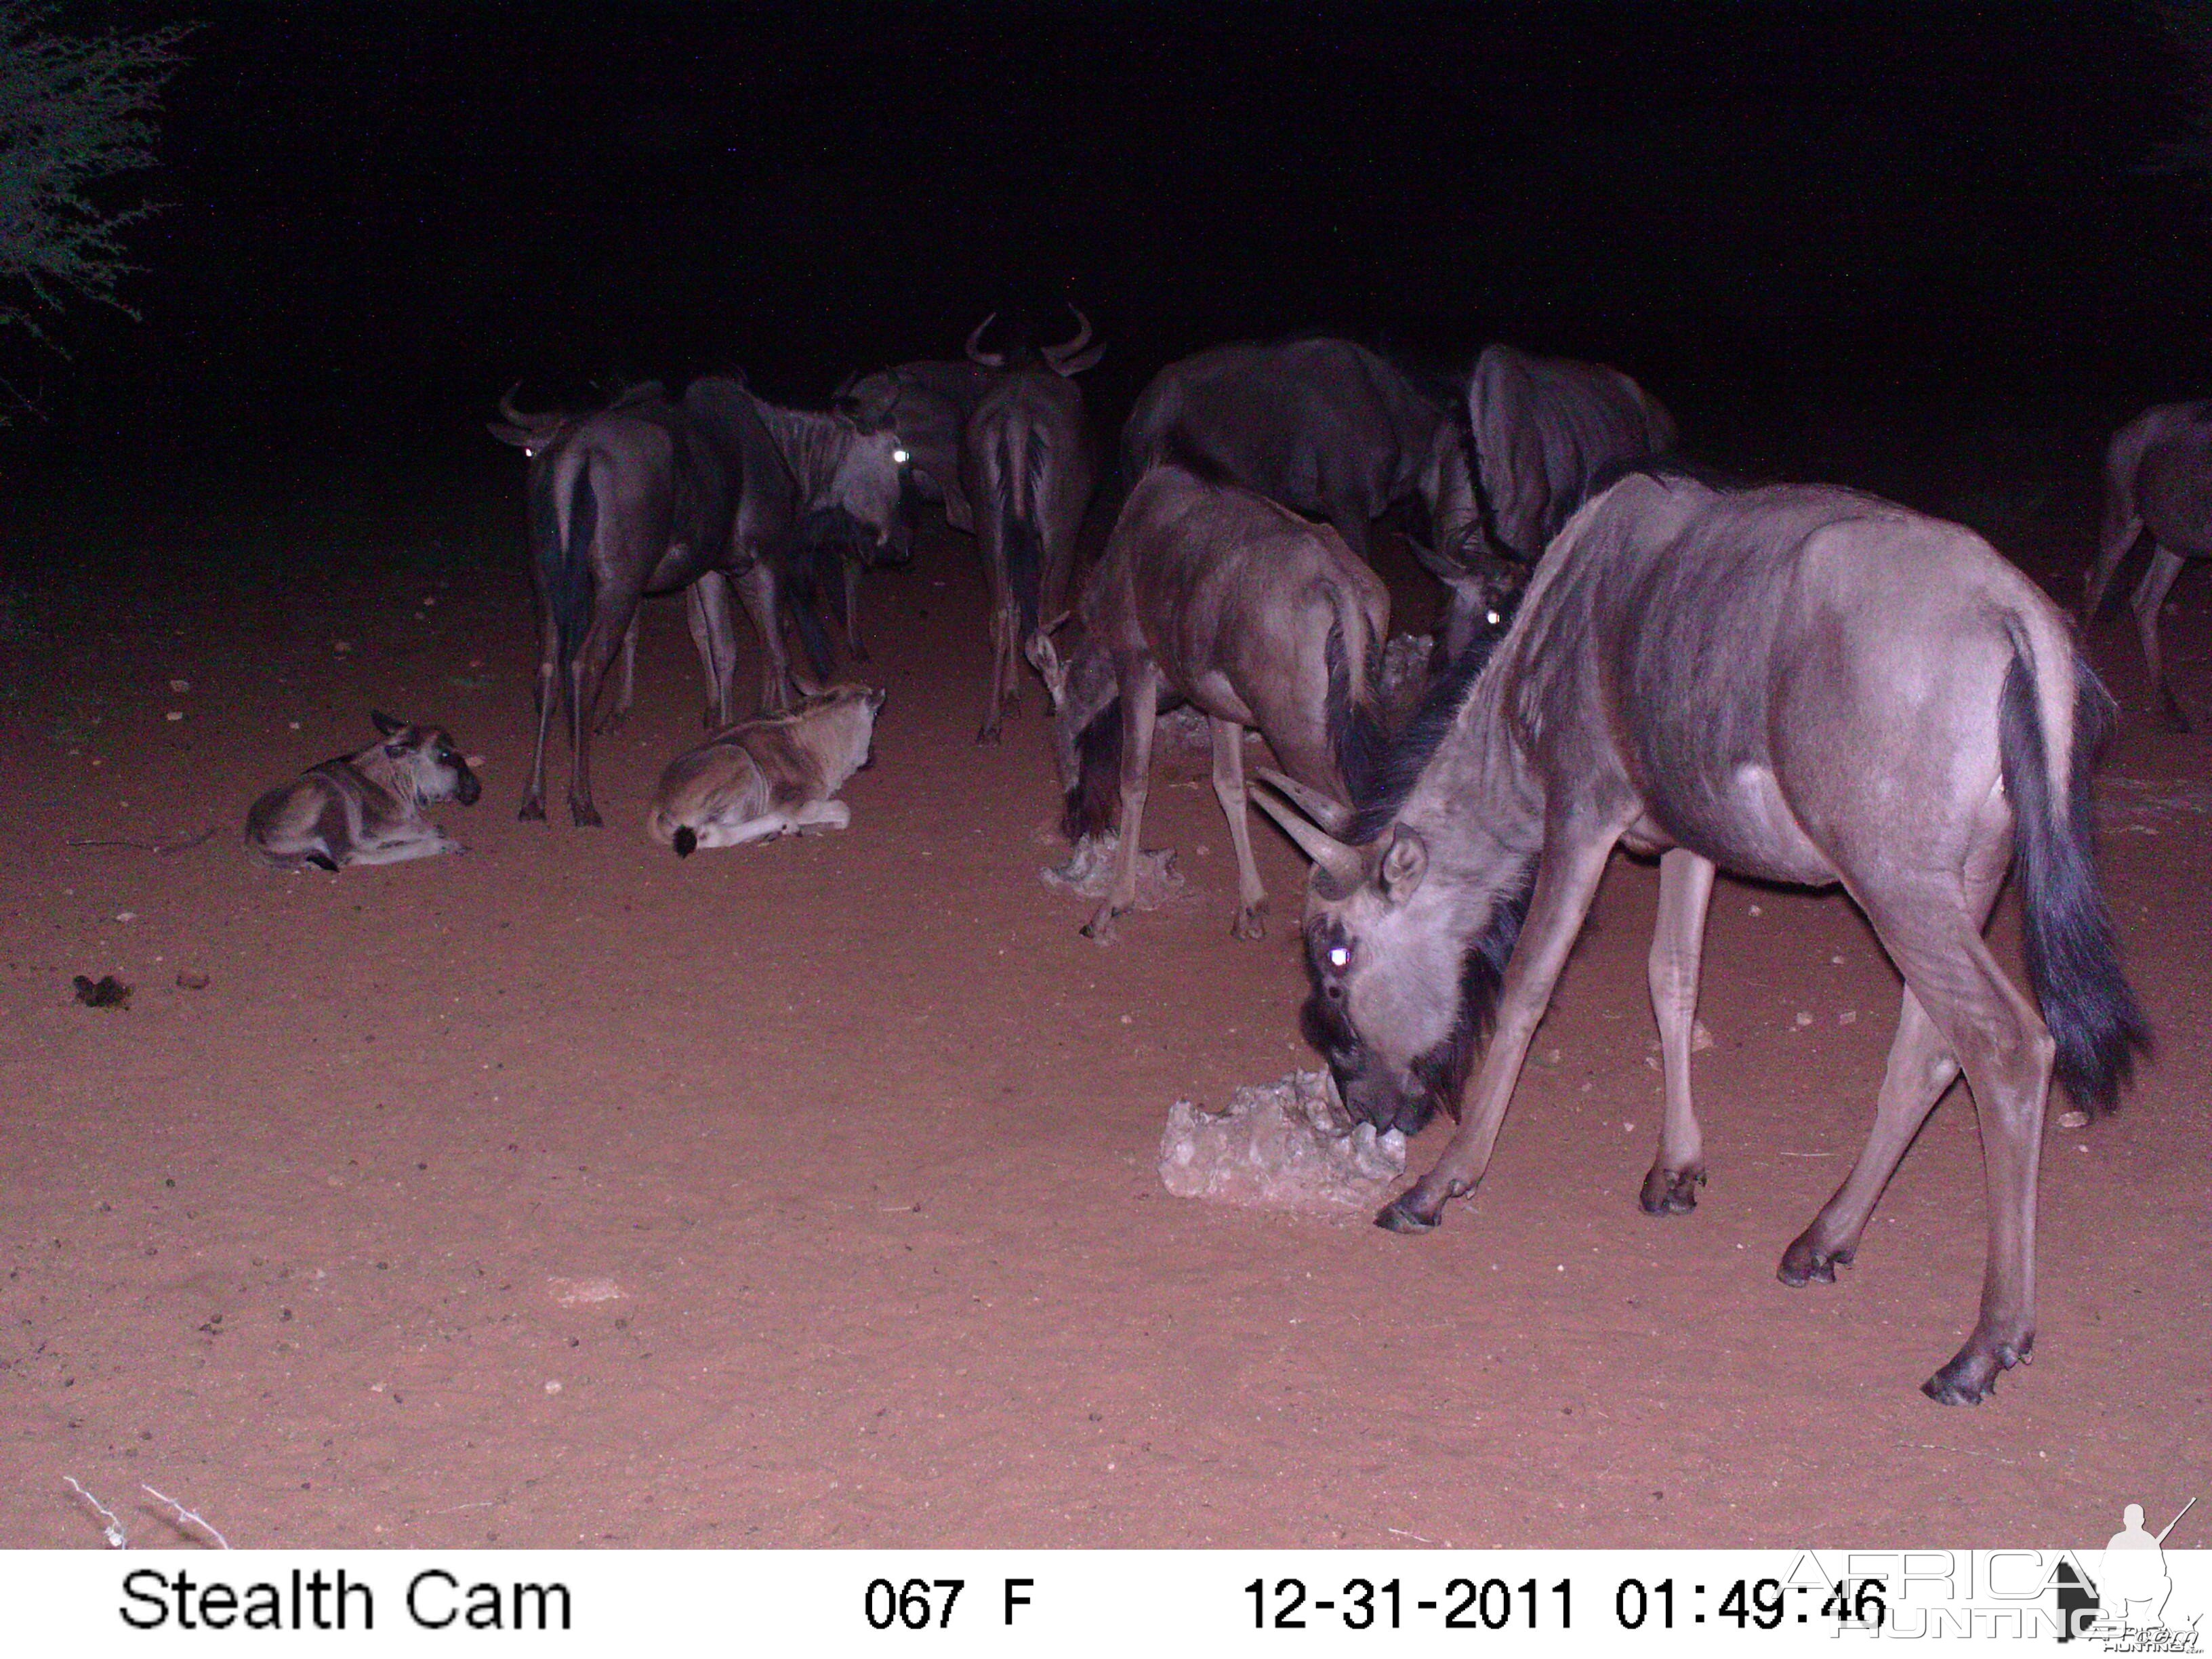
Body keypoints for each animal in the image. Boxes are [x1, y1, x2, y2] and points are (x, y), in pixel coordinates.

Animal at [246, 712, 480, 876]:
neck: (390, 782)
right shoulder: (382, 823)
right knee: (351, 853)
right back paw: (442, 845)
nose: (475, 789)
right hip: (331, 794)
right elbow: (429, 827)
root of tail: (253, 837)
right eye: (445, 754)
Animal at [646, 681, 884, 858]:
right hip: (738, 758)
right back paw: (779, 826)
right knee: (712, 834)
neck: (808, 747)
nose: (872, 755)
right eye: (874, 716)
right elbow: (843, 811)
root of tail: (658, 807)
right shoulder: (796, 806)